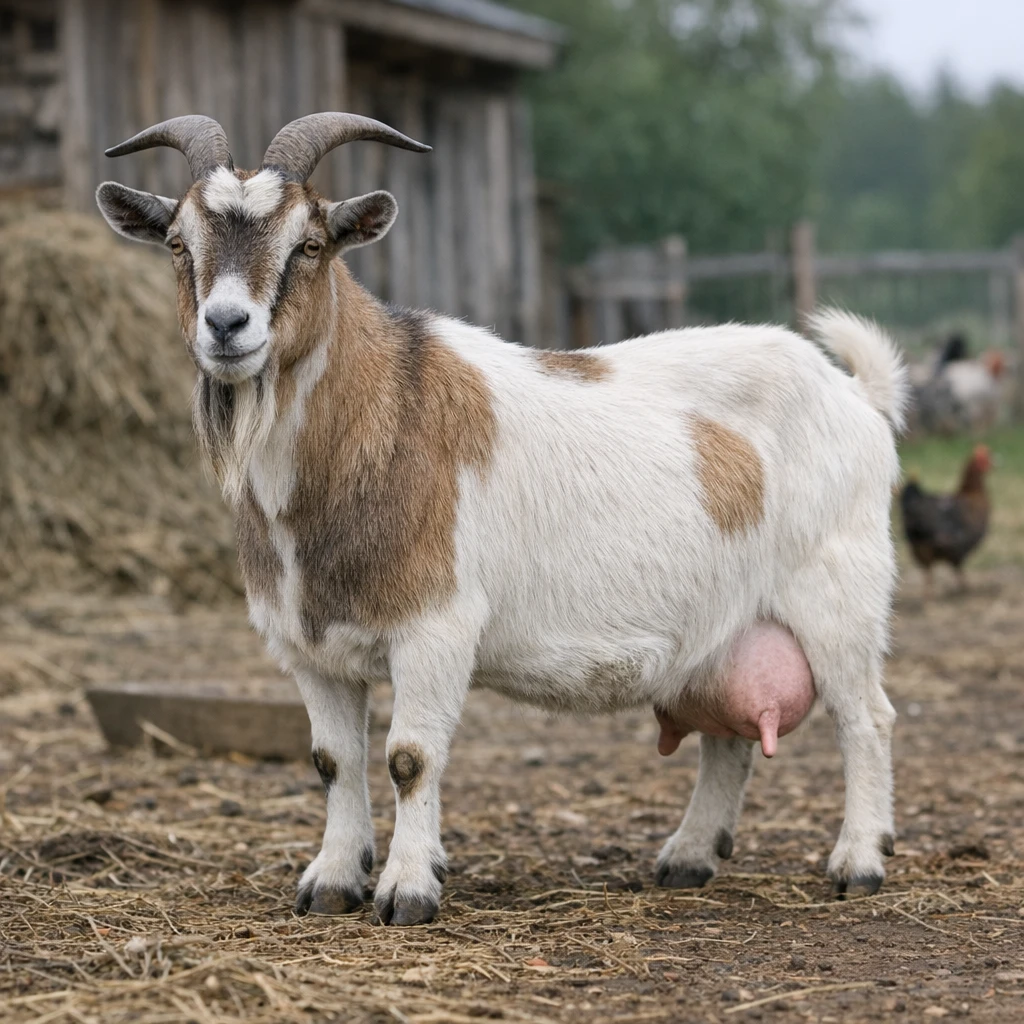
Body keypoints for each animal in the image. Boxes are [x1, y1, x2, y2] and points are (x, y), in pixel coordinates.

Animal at [97, 113, 908, 926]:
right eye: (178, 243)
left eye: (310, 243)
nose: (226, 325)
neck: (380, 412)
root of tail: (856, 394)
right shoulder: (309, 647)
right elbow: (334, 761)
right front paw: (330, 881)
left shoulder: (435, 627)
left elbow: (410, 757)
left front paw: (407, 890)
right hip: (722, 629)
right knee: (728, 738)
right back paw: (687, 857)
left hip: (837, 592)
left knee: (866, 717)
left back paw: (859, 862)